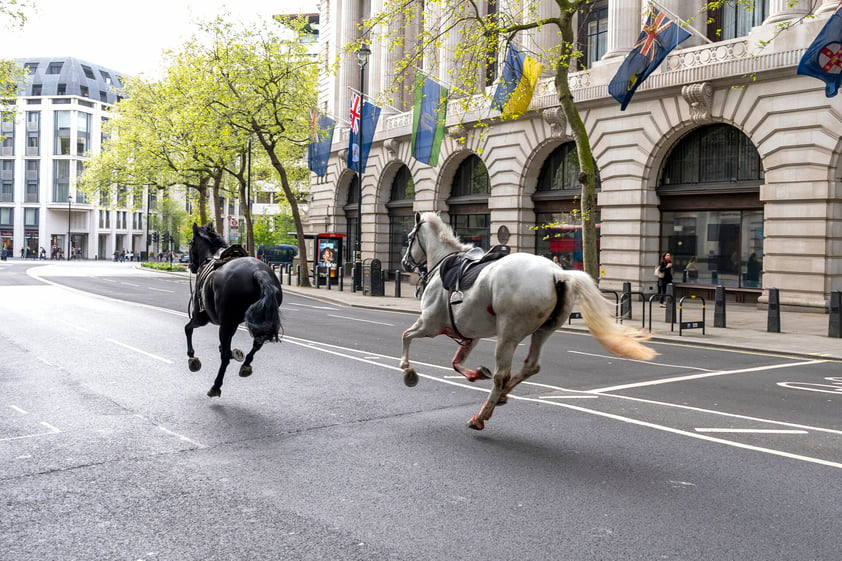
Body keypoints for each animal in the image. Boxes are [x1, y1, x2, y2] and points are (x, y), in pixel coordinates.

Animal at [184, 221, 282, 396]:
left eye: (191, 242)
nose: (192, 266)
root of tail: (258, 272)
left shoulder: (201, 317)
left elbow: (188, 329)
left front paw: (192, 358)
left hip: (225, 323)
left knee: (224, 356)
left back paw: (216, 386)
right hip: (258, 320)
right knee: (257, 343)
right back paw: (246, 365)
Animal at [400, 212, 656, 430]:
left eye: (410, 237)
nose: (404, 263)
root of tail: (558, 273)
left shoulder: (430, 324)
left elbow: (406, 336)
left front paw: (407, 370)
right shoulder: (469, 333)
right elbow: (456, 362)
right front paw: (475, 373)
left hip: (508, 334)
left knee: (501, 375)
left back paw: (481, 416)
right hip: (543, 330)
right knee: (530, 366)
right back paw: (502, 396)